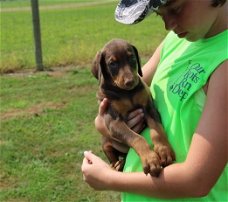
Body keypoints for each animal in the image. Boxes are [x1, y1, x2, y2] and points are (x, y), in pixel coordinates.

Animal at [91, 38, 175, 176]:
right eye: (112, 63)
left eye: (132, 58)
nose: (130, 81)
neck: (126, 93)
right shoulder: (114, 122)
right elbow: (136, 138)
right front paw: (150, 159)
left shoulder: (149, 108)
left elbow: (157, 130)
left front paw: (164, 150)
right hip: (105, 143)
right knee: (113, 157)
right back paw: (116, 165)